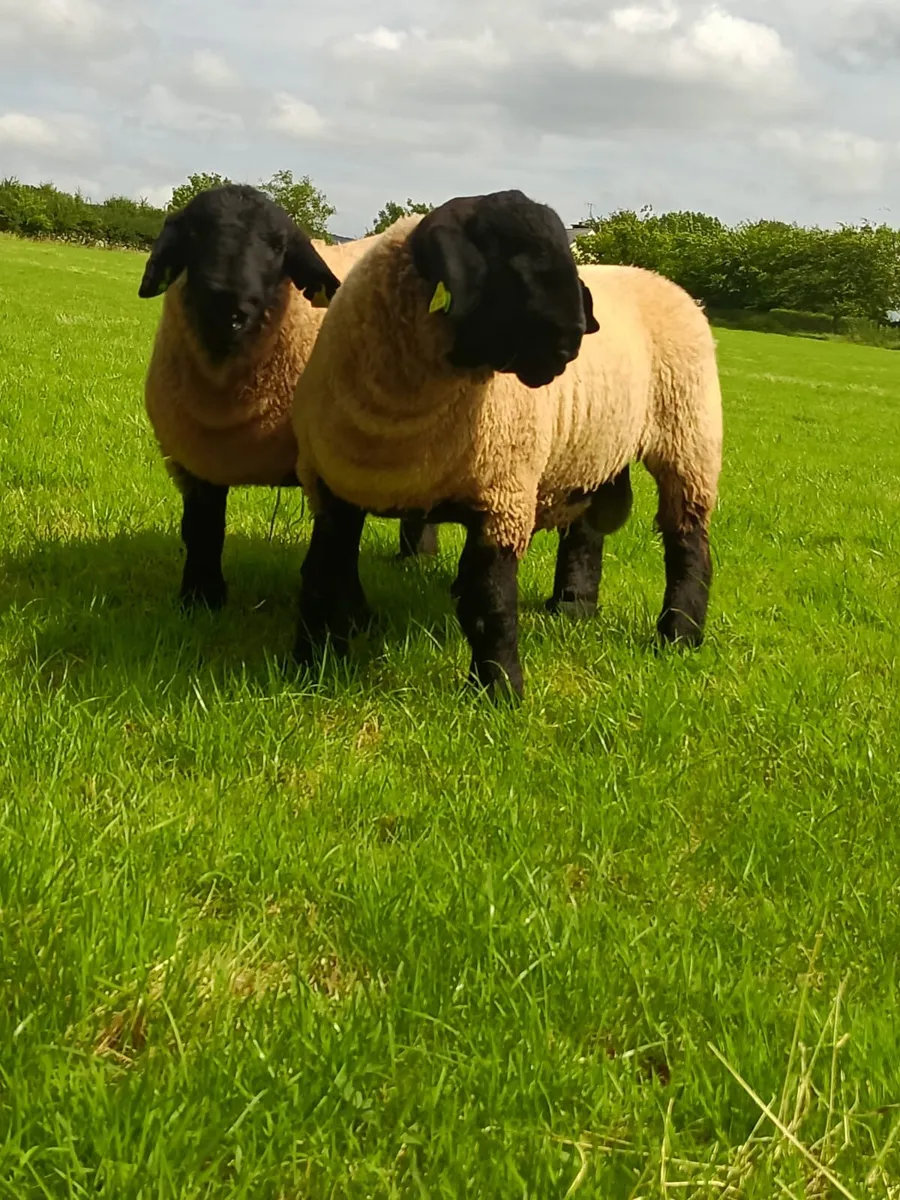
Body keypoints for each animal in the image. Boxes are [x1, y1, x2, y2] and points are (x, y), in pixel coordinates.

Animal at [137, 183, 437, 611]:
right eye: (193, 233)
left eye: (279, 246)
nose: (228, 308)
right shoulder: (193, 459)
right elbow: (201, 529)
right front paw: (200, 599)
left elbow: (334, 547)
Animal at [289, 188, 722, 700]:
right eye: (508, 256)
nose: (572, 342)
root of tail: (665, 282)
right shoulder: (331, 489)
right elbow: (323, 577)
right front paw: (309, 666)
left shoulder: (503, 497)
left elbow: (490, 601)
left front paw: (499, 690)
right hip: (591, 452)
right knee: (586, 531)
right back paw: (573, 607)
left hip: (688, 439)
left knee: (688, 544)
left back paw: (679, 634)